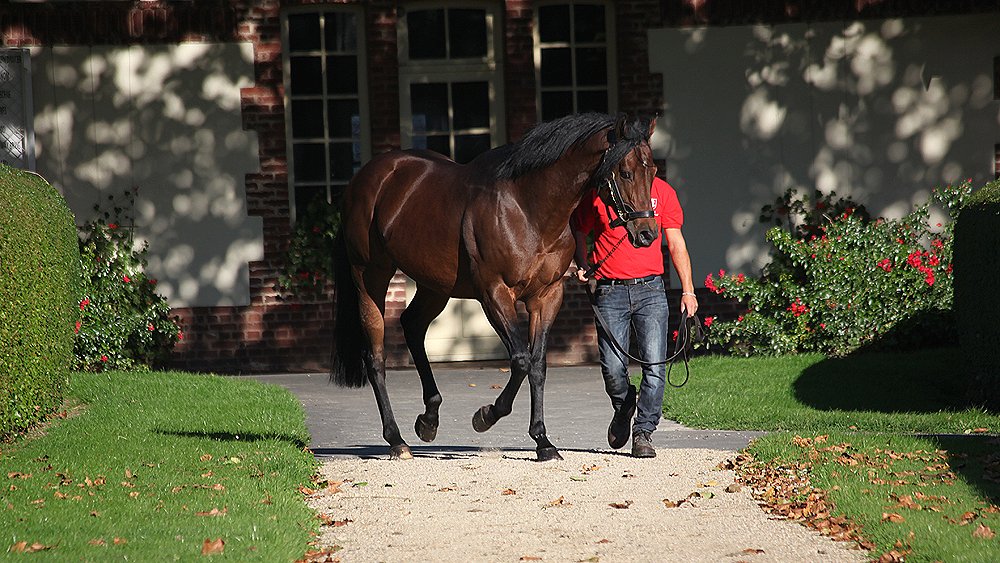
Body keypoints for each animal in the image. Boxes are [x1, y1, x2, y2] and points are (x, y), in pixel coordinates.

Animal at [331, 112, 659, 461]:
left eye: (652, 170)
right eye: (625, 172)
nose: (647, 233)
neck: (528, 208)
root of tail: (364, 179)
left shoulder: (547, 297)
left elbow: (538, 364)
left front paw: (543, 442)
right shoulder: (495, 294)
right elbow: (520, 360)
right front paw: (485, 416)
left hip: (435, 285)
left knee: (412, 326)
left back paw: (428, 420)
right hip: (371, 277)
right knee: (376, 358)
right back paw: (397, 440)